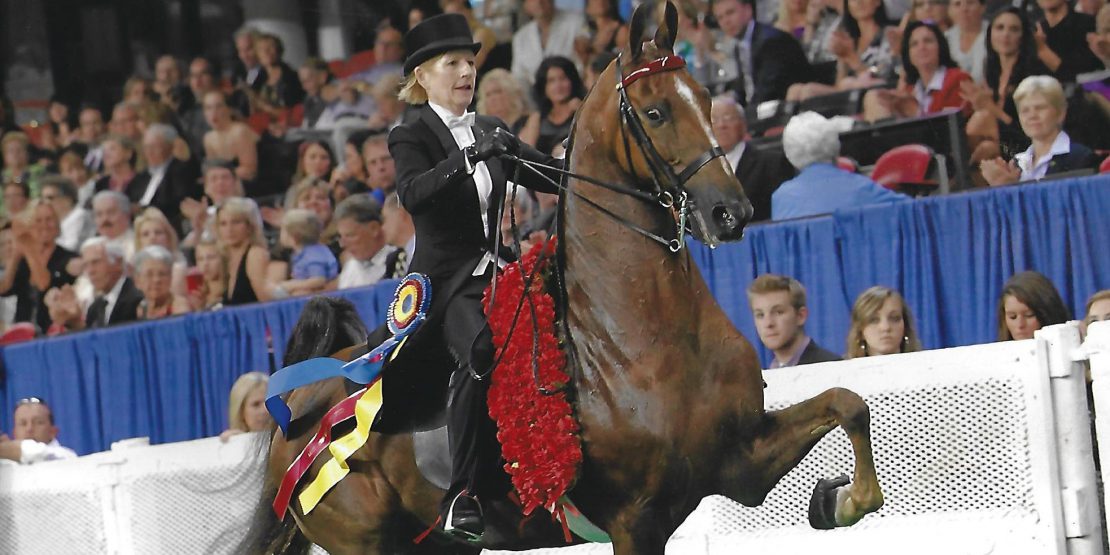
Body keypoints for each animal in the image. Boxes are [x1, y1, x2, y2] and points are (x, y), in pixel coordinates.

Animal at [243, 3, 883, 550]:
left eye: (705, 97)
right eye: (656, 112)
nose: (732, 212)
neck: (642, 334)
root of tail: (303, 407)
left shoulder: (740, 461)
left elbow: (848, 401)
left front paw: (839, 501)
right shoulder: (637, 520)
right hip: (370, 542)